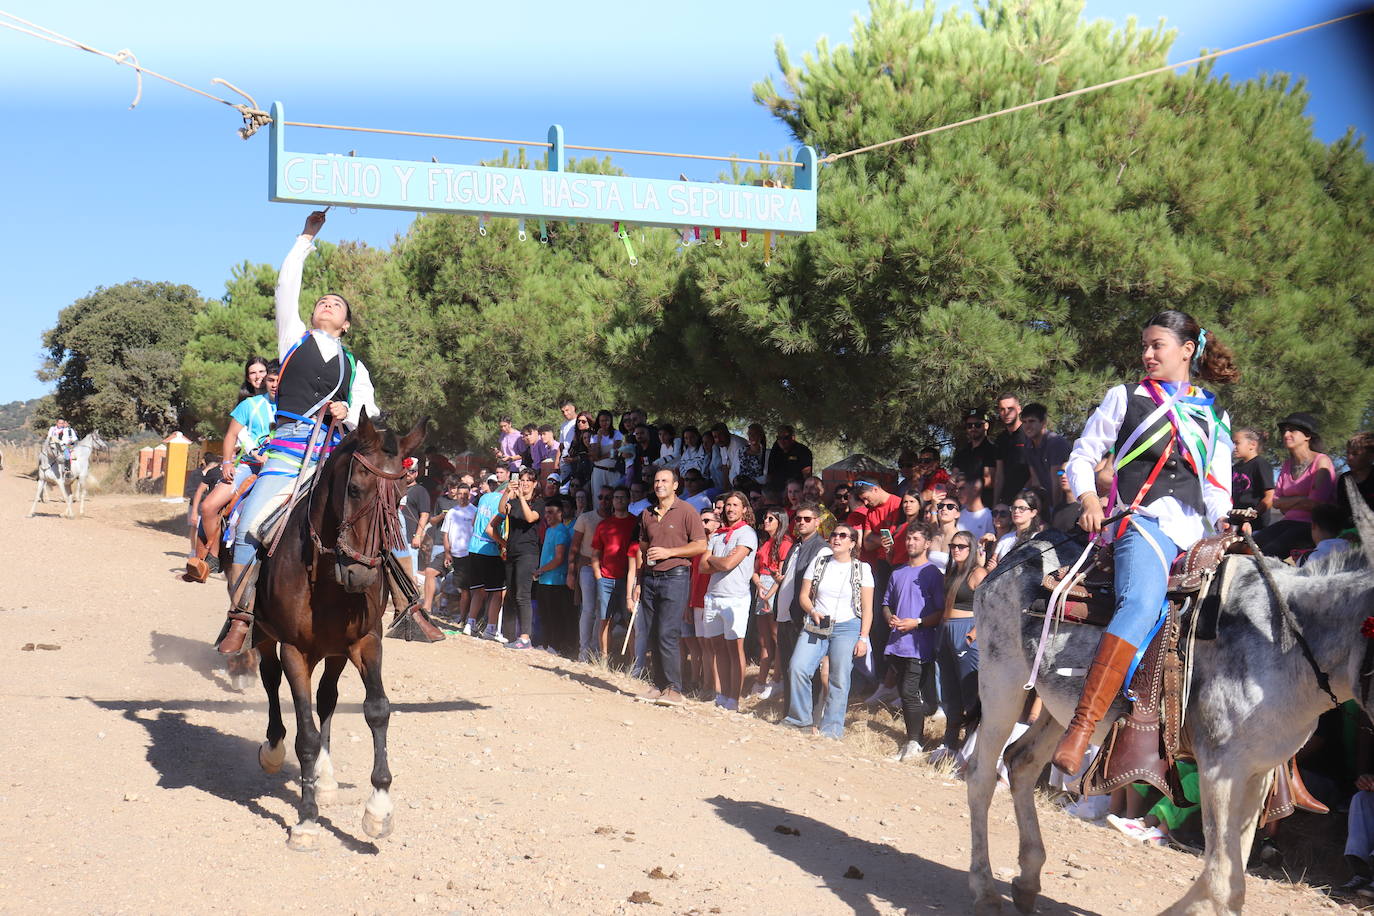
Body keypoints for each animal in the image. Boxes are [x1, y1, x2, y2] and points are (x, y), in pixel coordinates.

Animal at [250, 409, 423, 851]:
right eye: (356, 490)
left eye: (401, 495)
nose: (362, 575)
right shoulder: (294, 650)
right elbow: (306, 735)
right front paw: (307, 819)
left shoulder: (365, 643)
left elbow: (377, 710)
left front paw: (379, 808)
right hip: (265, 634)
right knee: (270, 679)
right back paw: (273, 749)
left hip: (334, 653)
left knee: (327, 698)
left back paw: (325, 778)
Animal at [967, 494, 1374, 916]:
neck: (1280, 638)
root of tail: (1020, 551)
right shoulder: (1221, 769)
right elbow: (1223, 879)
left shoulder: (1257, 773)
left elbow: (1229, 876)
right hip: (1002, 682)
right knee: (981, 774)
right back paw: (984, 888)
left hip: (1056, 707)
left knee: (1021, 762)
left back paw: (1027, 880)